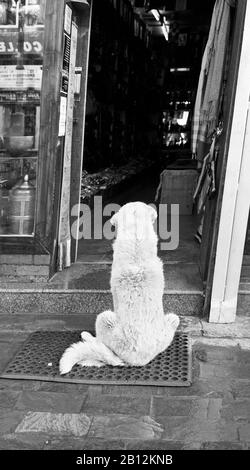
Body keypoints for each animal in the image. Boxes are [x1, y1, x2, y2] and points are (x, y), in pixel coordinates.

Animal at [59, 202, 180, 374]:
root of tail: (136, 361)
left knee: (100, 343)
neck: (136, 241)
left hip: (104, 318)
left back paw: (87, 336)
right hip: (172, 319)